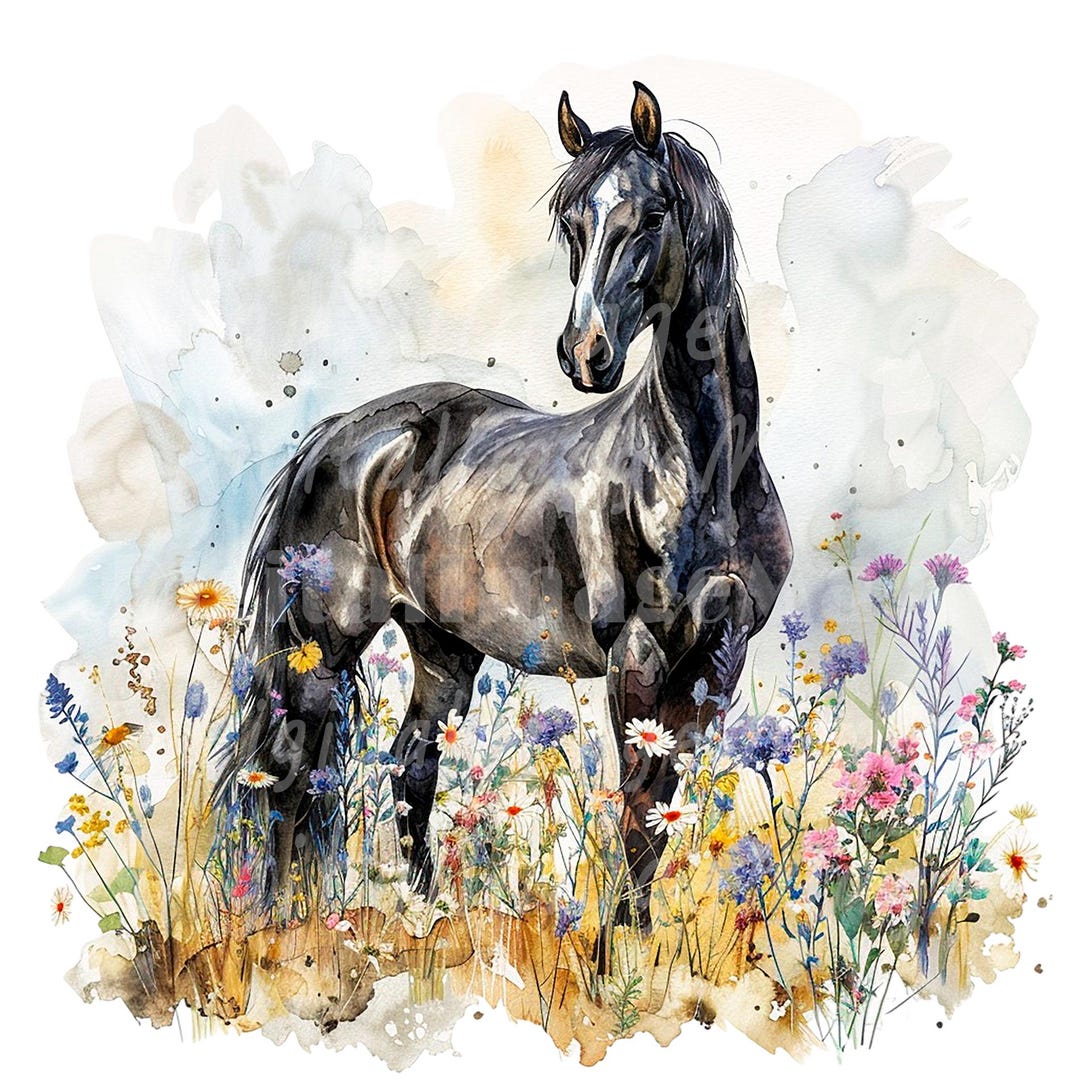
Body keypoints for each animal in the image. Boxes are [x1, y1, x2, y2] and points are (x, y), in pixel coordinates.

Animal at [227, 82, 792, 932]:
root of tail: (334, 437)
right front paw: (617, 949)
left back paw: (425, 916)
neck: (698, 470)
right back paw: (276, 924)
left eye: (654, 212)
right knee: (286, 778)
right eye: (573, 221)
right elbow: (636, 813)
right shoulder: (638, 657)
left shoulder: (715, 663)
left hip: (442, 650)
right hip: (318, 651)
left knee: (409, 766)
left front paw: (639, 943)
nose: (585, 353)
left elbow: (659, 816)